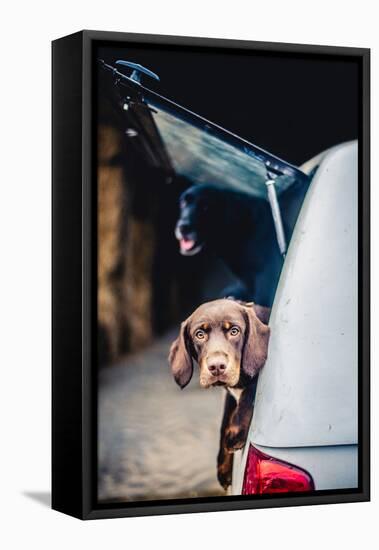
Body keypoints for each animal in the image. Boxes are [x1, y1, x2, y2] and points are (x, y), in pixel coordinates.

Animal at [169, 300, 270, 490]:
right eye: (199, 334)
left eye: (234, 331)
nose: (216, 367)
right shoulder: (229, 395)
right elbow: (224, 422)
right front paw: (223, 467)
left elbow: (249, 393)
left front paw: (235, 434)